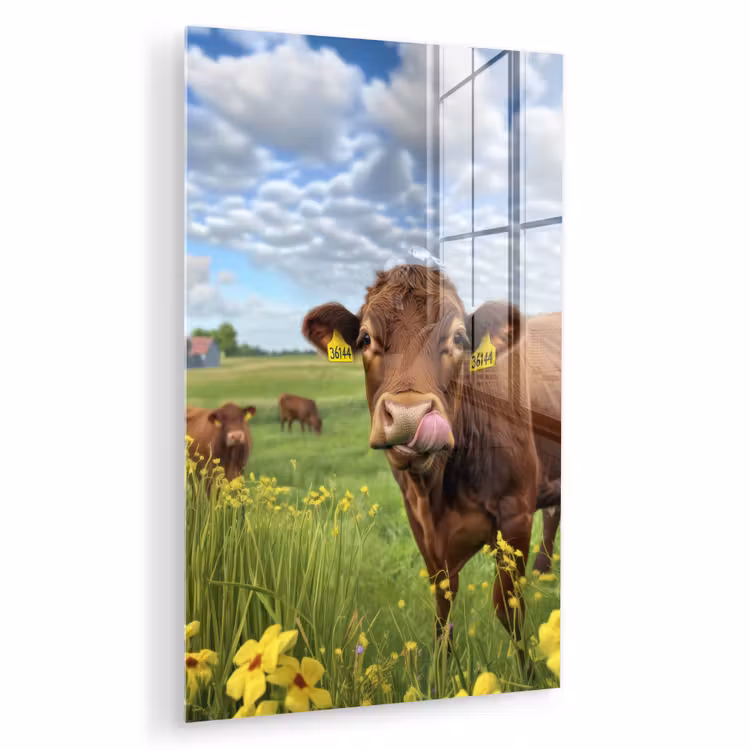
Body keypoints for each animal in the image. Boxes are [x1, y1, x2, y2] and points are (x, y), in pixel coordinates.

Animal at [301, 264, 561, 650]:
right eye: (364, 338)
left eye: (459, 339)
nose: (409, 416)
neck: (437, 489)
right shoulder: (419, 521)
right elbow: (443, 605)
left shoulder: (516, 513)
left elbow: (508, 607)